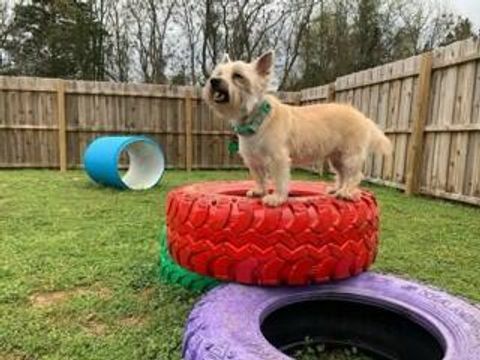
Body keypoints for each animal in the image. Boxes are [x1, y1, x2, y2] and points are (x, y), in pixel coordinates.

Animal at [201, 51, 392, 207]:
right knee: (343, 174)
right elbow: (259, 177)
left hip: (350, 155)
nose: (214, 81)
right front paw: (259, 191)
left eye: (238, 76)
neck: (257, 119)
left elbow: (279, 180)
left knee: (354, 175)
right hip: (336, 157)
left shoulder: (278, 159)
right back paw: (337, 189)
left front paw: (276, 198)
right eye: (218, 74)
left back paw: (346, 192)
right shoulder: (253, 160)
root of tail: (363, 117)